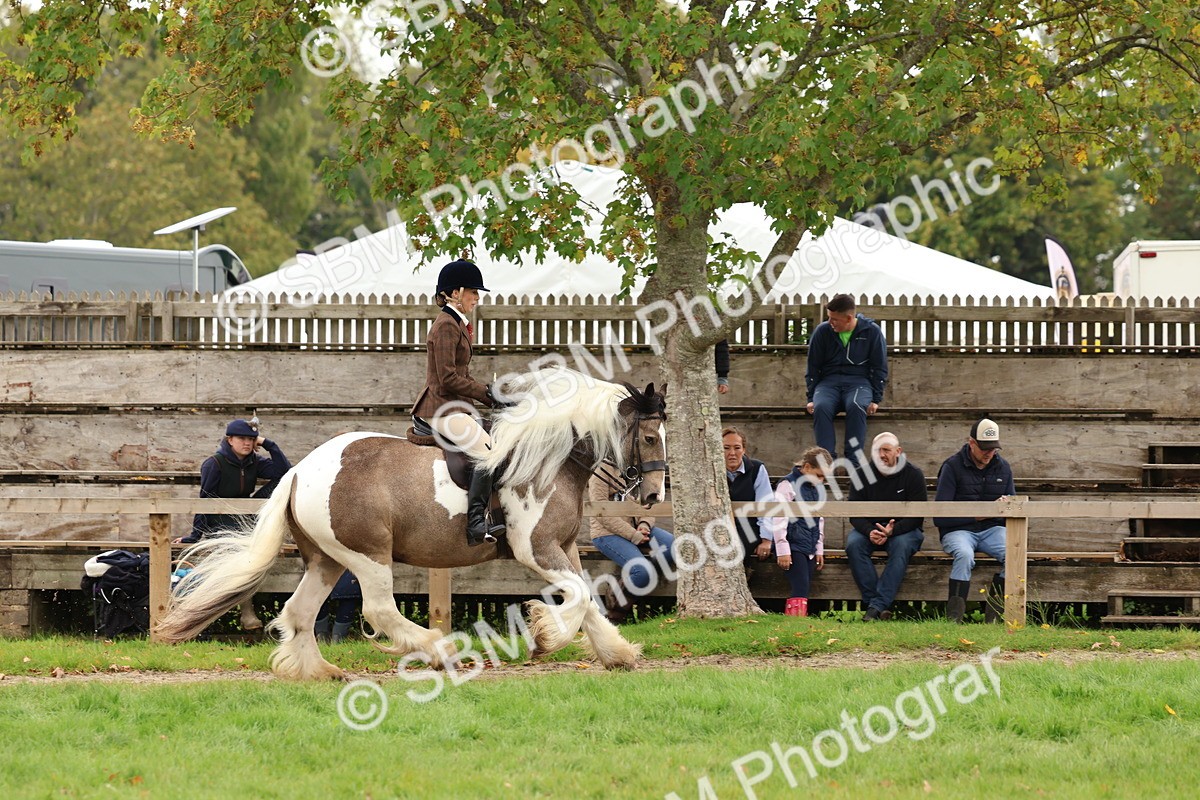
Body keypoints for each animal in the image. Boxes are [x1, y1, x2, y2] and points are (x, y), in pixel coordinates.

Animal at [155, 367, 668, 680]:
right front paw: (545, 637)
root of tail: (299, 471)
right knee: (378, 610)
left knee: (299, 613)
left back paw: (322, 672)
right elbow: (579, 596)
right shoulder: (536, 548)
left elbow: (588, 600)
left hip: (326, 559)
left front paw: (617, 654)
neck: (548, 458)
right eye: (648, 436)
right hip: (368, 554)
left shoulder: (563, 548)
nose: (653, 496)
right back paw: (442, 651)